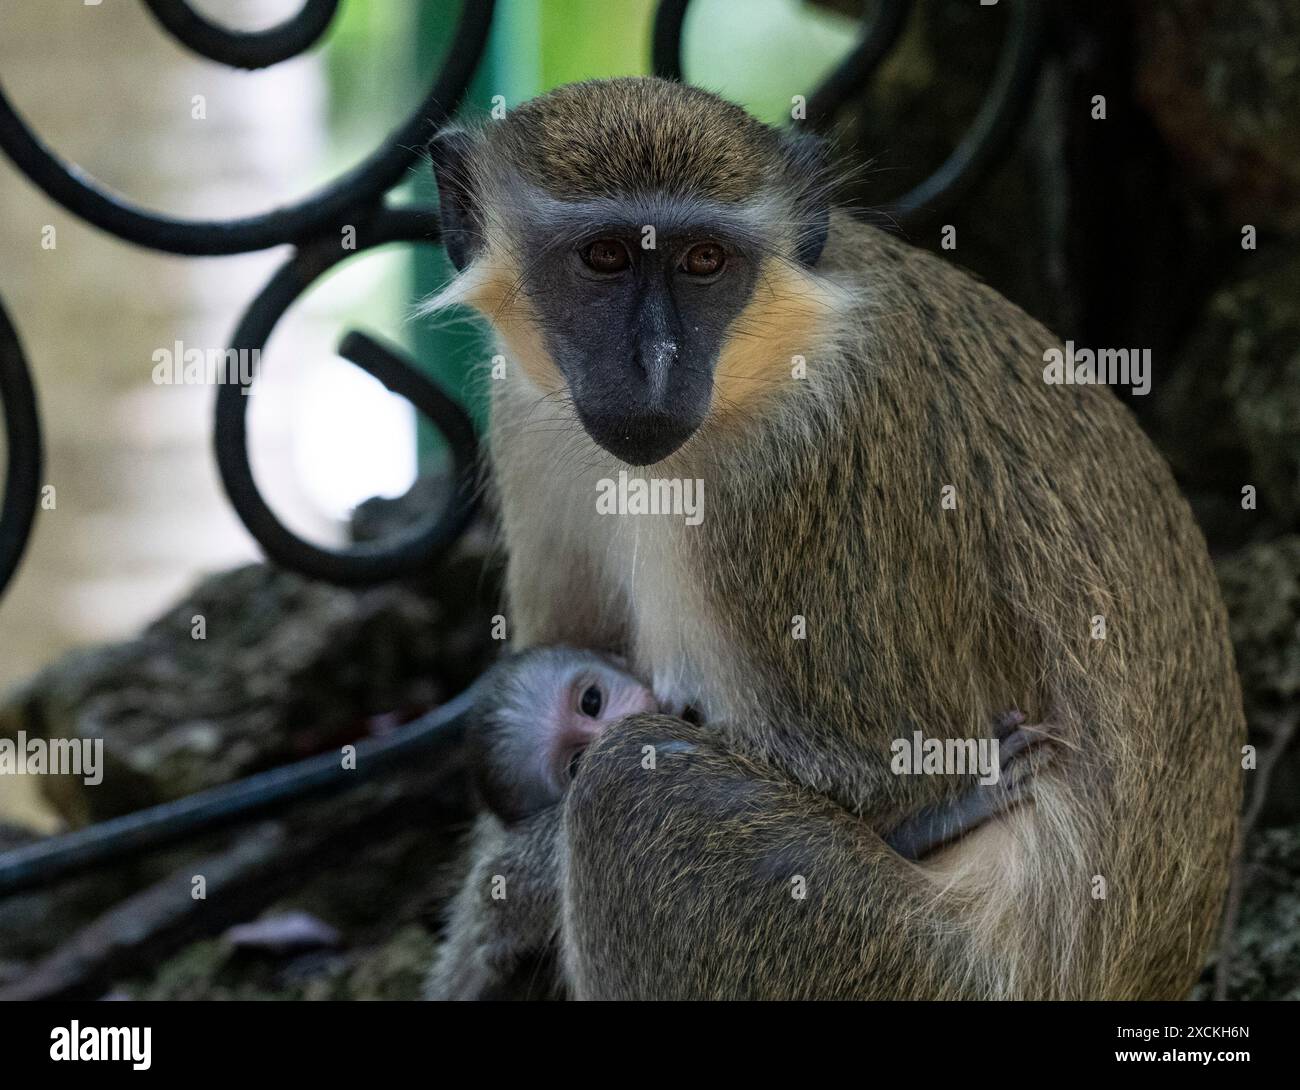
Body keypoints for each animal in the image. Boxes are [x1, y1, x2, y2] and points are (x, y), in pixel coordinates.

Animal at [422, 76, 1245, 1000]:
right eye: (604, 257)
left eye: (704, 261)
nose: (655, 363)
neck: (764, 351)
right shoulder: (524, 418)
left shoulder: (804, 457)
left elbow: (886, 780)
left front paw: (510, 888)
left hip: (889, 968)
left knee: (634, 783)